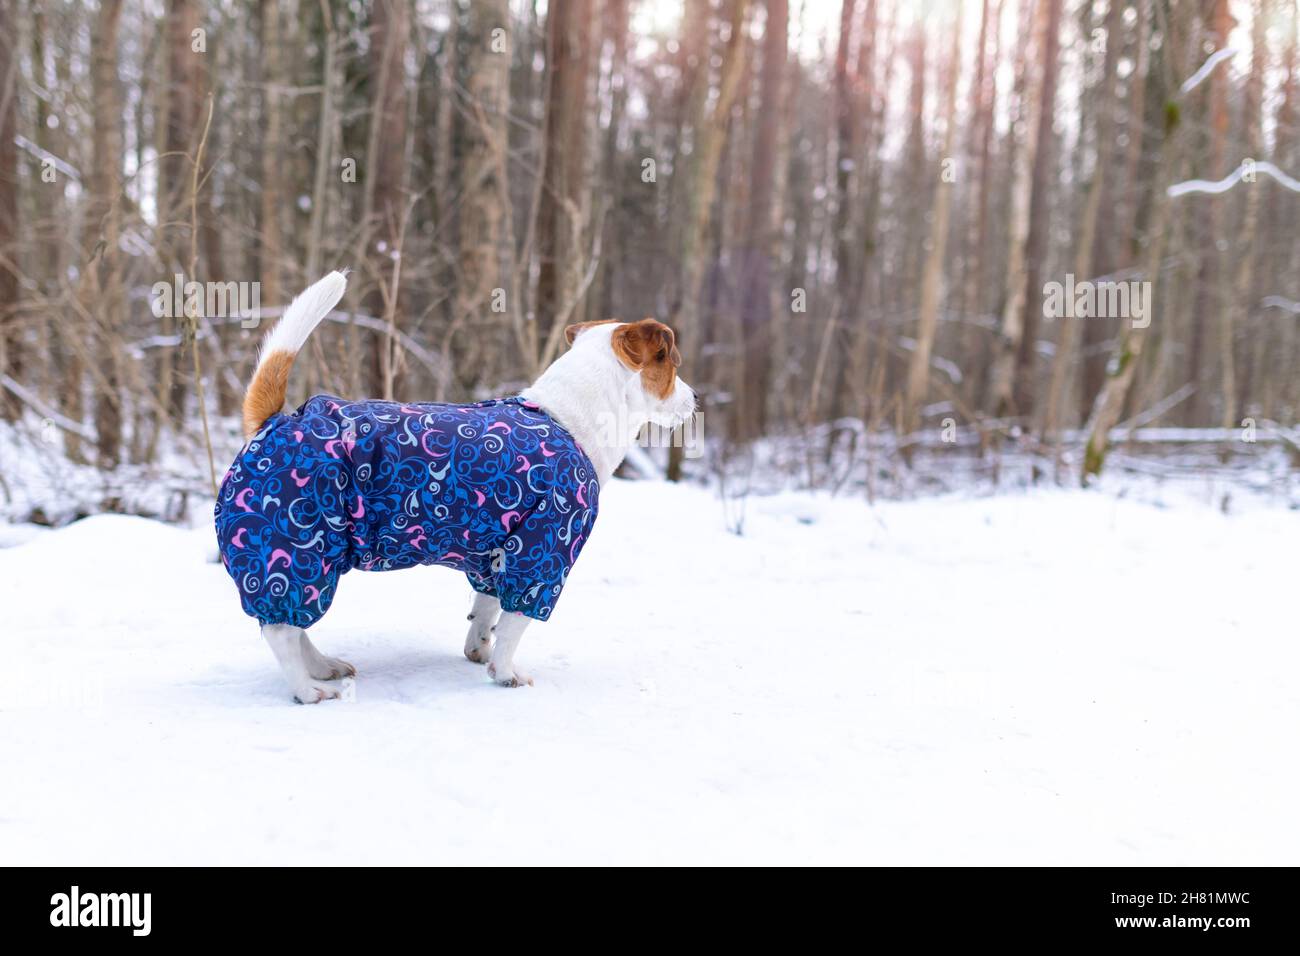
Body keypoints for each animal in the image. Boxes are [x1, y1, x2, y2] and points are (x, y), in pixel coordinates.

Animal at [214, 270, 702, 702]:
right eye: (672, 364)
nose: (696, 398)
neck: (564, 417)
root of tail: (275, 421)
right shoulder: (542, 554)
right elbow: (515, 624)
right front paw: (505, 673)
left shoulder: (493, 553)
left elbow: (485, 610)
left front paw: (478, 650)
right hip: (294, 551)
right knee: (281, 629)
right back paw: (306, 688)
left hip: (318, 557)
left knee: (297, 627)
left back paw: (321, 666)